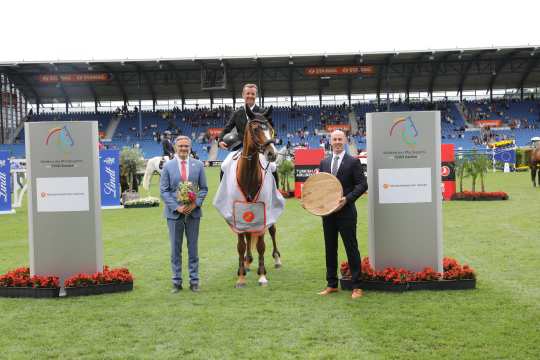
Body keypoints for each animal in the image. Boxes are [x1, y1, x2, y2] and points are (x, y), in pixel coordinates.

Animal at [234, 105, 280, 288]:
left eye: (271, 129)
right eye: (255, 129)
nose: (272, 154)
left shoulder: (263, 208)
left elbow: (261, 244)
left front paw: (262, 275)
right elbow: (241, 244)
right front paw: (240, 276)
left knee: (272, 230)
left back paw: (277, 258)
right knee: (248, 235)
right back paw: (247, 261)